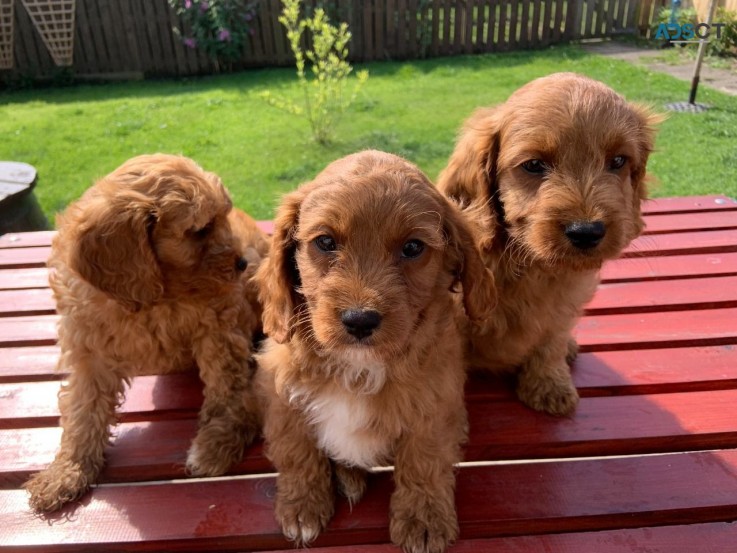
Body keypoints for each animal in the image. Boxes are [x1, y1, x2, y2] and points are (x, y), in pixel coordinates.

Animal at [22, 153, 270, 512]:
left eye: (224, 217)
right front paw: (67, 471)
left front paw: (217, 441)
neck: (156, 295)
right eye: (199, 231)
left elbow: (226, 388)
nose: (241, 264)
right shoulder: (89, 350)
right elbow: (83, 411)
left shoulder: (220, 327)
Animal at [254, 150, 494, 552]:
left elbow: (424, 459)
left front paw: (423, 519)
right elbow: (296, 450)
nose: (360, 320)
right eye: (325, 242)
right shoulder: (282, 394)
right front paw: (301, 506)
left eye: (412, 248)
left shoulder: (435, 402)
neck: (359, 368)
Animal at [436, 73, 660, 416]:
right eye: (533, 165)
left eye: (618, 161)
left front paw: (548, 384)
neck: (530, 264)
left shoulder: (564, 306)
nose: (587, 231)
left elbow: (550, 341)